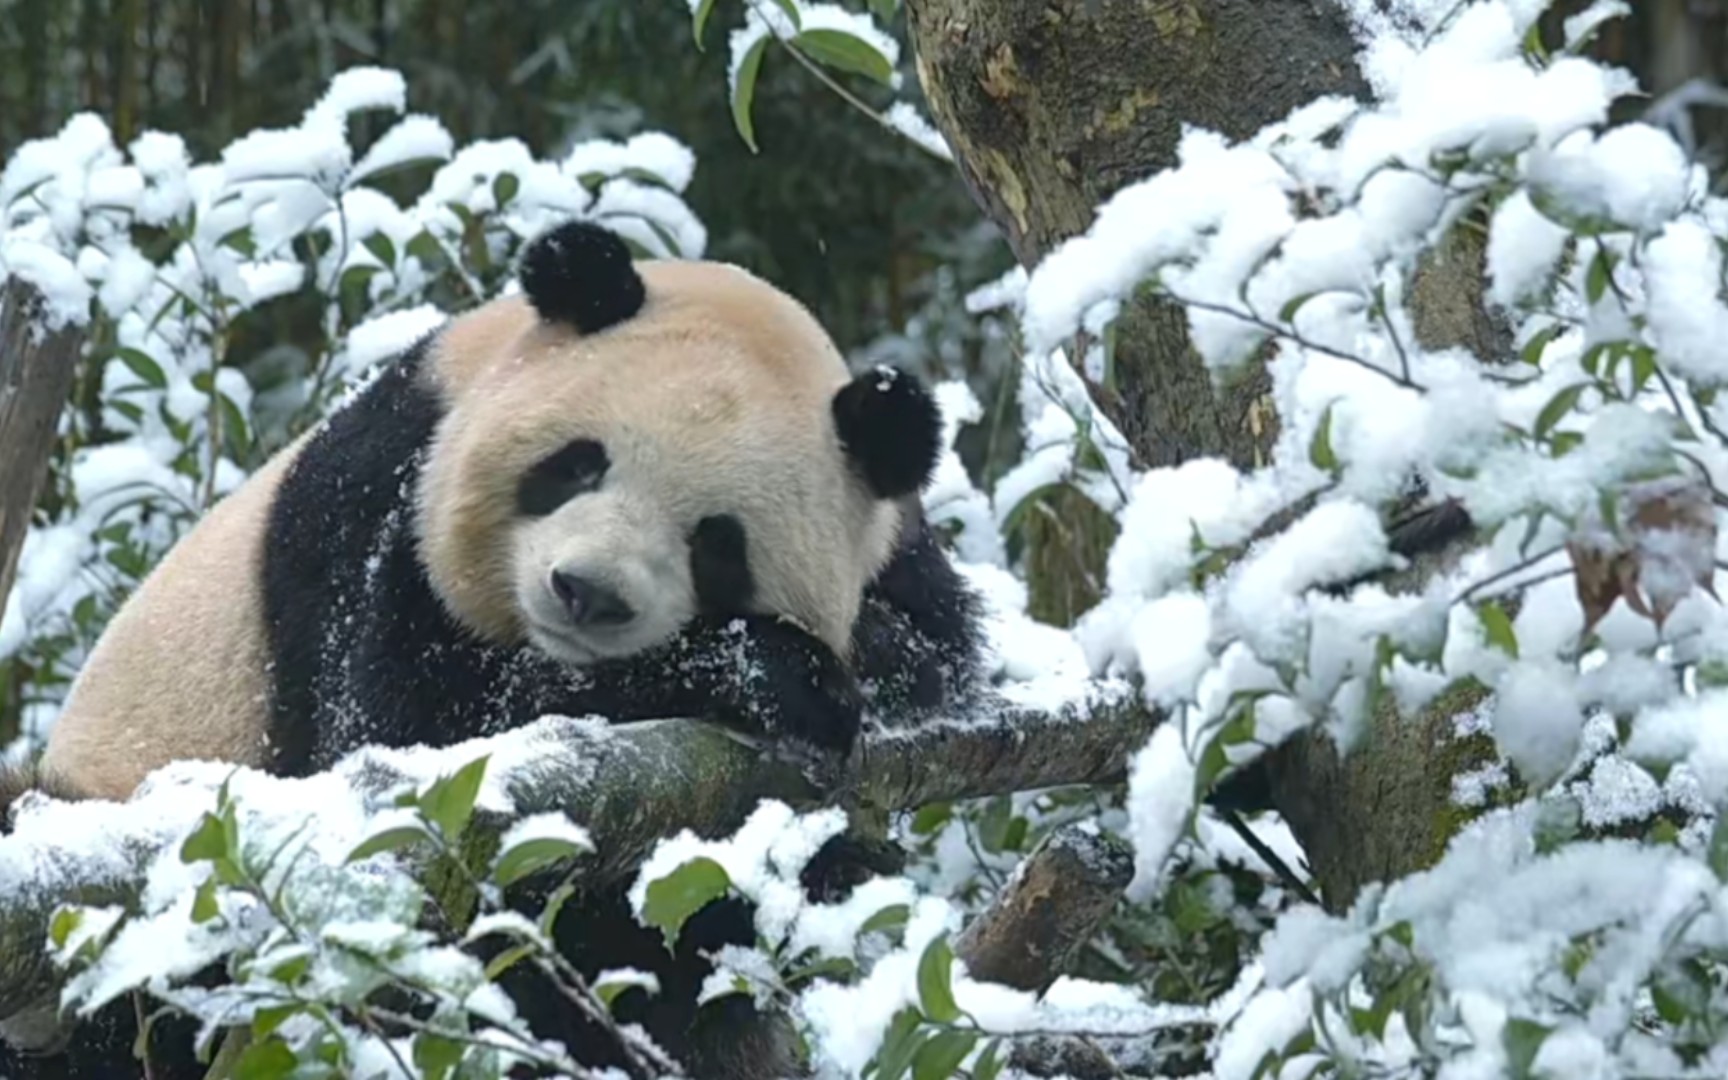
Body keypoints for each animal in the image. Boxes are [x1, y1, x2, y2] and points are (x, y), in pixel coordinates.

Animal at [3, 219, 988, 1078]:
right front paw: (778, 674)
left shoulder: (898, 549)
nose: (587, 593)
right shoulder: (383, 505)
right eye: (578, 464)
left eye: (717, 543)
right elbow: (423, 737)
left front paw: (883, 658)